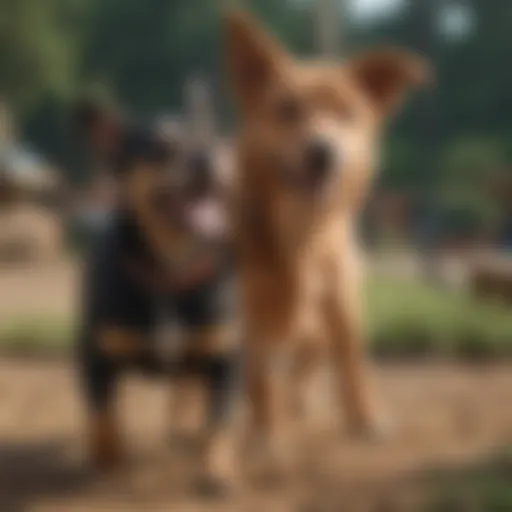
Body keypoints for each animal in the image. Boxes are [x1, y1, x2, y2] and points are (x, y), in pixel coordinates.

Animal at [224, 10, 428, 470]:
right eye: (287, 109)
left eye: (346, 112)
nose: (322, 152)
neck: (303, 236)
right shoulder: (249, 312)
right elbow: (260, 381)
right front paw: (266, 439)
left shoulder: (341, 299)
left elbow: (353, 365)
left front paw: (366, 421)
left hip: (314, 333)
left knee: (303, 371)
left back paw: (296, 406)